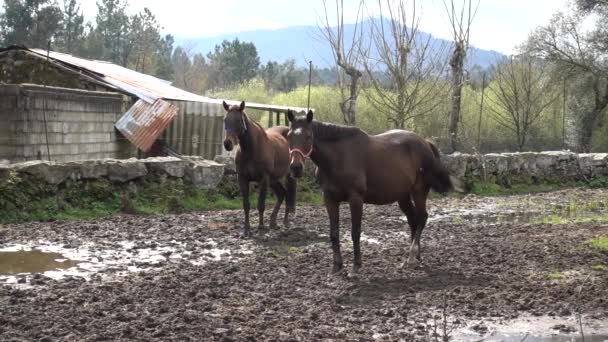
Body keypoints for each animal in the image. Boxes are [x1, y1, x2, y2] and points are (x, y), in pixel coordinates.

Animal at [224, 100, 298, 236]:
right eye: (225, 119)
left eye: (238, 120)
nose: (228, 144)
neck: (252, 149)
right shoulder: (242, 179)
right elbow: (246, 205)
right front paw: (247, 229)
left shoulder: (263, 179)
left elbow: (261, 205)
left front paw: (261, 227)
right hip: (273, 180)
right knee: (282, 194)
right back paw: (273, 222)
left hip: (287, 176)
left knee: (288, 195)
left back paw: (285, 222)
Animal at [284, 111, 452, 274]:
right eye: (289, 136)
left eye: (308, 136)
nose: (296, 168)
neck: (338, 157)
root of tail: (426, 143)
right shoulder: (329, 199)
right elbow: (334, 233)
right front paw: (336, 266)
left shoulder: (355, 199)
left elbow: (355, 232)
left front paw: (356, 266)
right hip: (403, 195)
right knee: (413, 220)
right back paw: (416, 257)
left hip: (419, 190)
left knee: (422, 218)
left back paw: (411, 256)